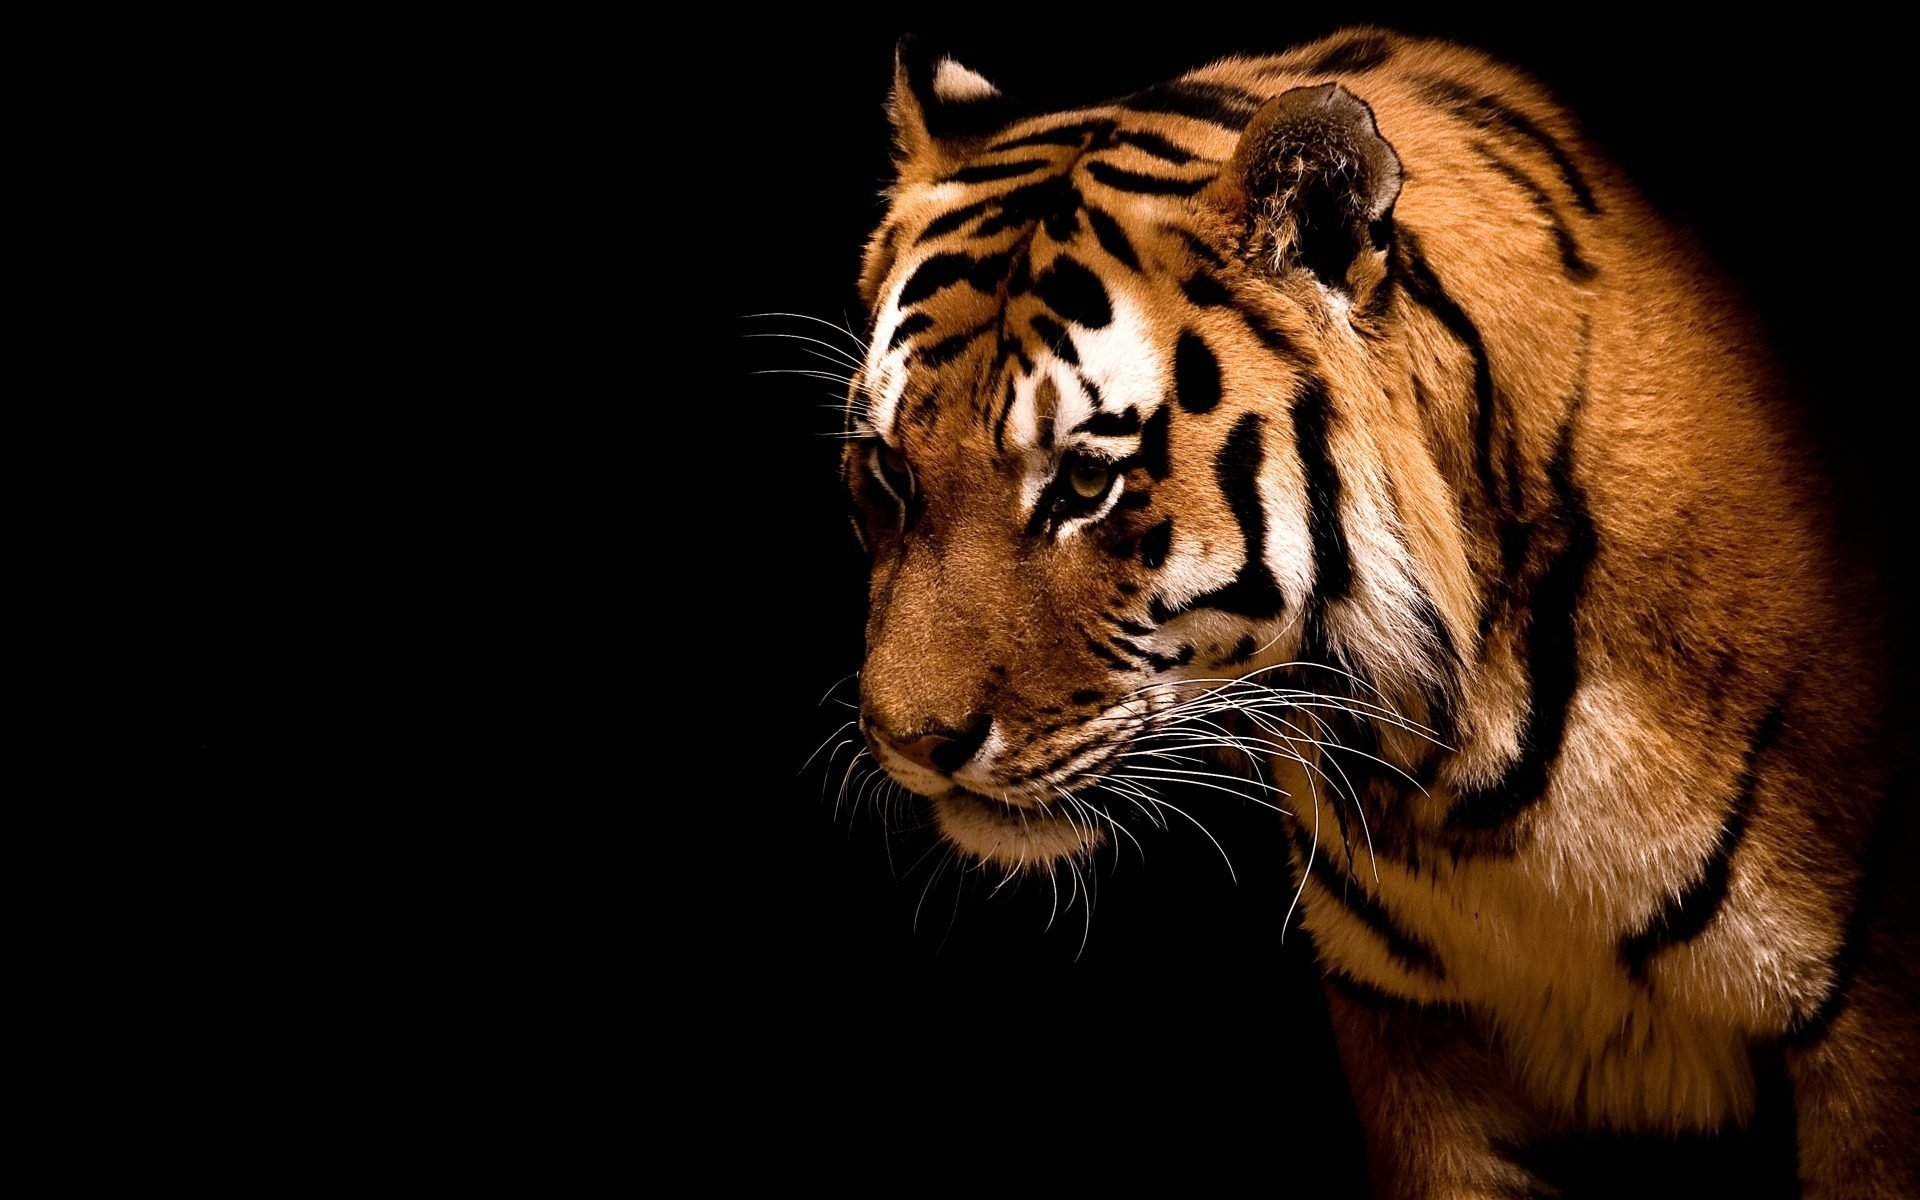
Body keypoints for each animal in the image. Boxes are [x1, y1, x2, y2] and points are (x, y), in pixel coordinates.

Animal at [832, 28, 1916, 1198]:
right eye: (889, 473)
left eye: (1085, 483)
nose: (910, 743)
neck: (1461, 783)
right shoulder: (1412, 1032)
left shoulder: (1868, 1029)